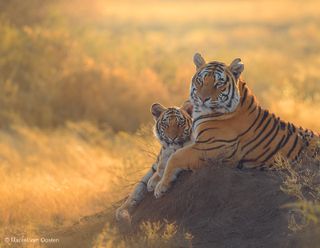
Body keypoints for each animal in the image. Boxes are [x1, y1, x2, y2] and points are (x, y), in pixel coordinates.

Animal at [154, 53, 318, 199]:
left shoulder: (209, 148)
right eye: (200, 81)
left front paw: (160, 187)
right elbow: (169, 155)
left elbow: (175, 157)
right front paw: (156, 179)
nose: (202, 98)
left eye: (218, 83)